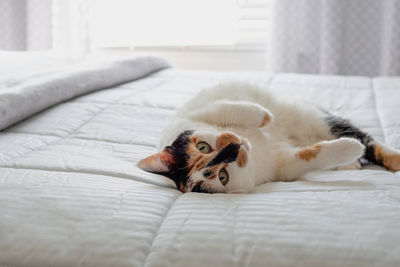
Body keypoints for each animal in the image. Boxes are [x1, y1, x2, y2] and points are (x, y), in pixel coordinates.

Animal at [138, 82, 400, 194]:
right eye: (222, 176)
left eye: (203, 147)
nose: (233, 148)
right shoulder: (282, 166)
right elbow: (309, 156)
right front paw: (347, 150)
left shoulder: (192, 114)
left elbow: (227, 108)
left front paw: (263, 115)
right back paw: (351, 162)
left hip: (316, 120)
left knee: (368, 140)